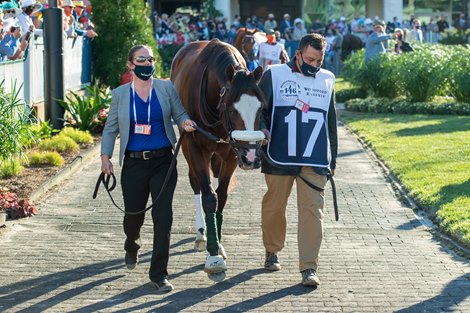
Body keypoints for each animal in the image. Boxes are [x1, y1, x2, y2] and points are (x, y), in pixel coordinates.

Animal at [170, 37, 266, 280]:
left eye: (261, 107)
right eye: (231, 109)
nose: (251, 157)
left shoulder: (231, 152)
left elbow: (221, 196)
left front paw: (219, 244)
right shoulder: (194, 147)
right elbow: (208, 197)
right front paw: (213, 255)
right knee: (196, 184)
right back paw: (201, 234)